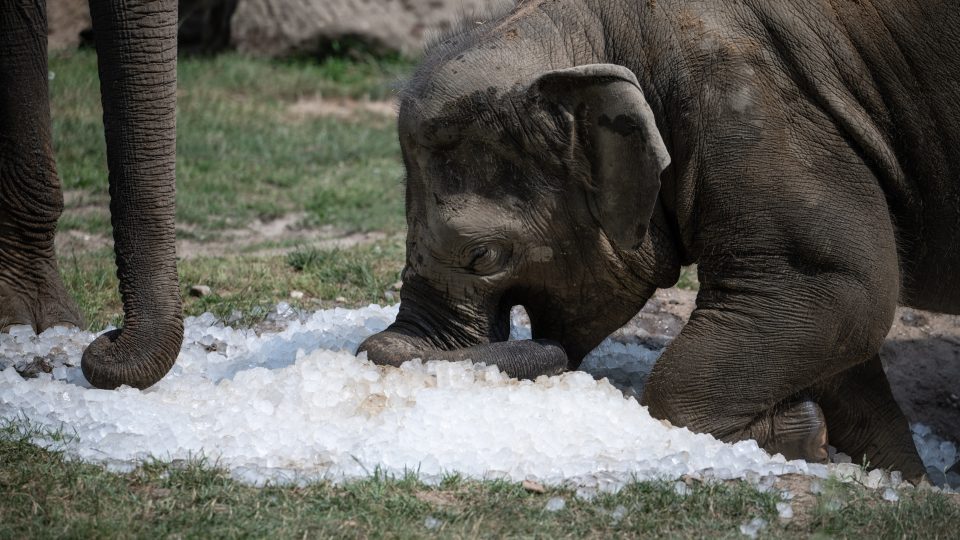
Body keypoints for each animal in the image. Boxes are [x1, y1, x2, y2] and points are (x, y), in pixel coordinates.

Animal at [360, 0, 960, 480]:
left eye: (481, 255)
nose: (543, 349)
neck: (607, 28)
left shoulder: (755, 108)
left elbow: (838, 289)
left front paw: (800, 438)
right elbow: (842, 325)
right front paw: (900, 479)